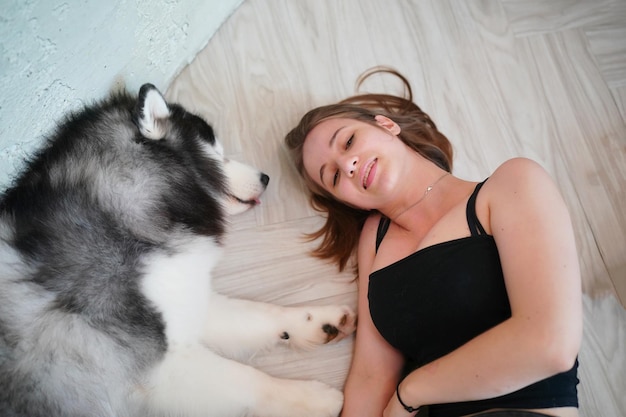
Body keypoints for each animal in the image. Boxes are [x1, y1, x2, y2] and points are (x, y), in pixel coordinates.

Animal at [0, 84, 354, 416]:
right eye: (217, 153)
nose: (265, 177)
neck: (118, 215)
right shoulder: (156, 370)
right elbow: (251, 380)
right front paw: (314, 398)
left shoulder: (184, 297)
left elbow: (260, 312)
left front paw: (318, 321)